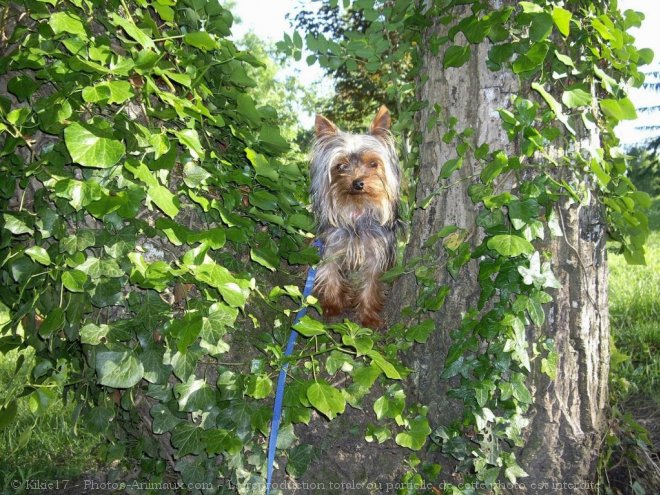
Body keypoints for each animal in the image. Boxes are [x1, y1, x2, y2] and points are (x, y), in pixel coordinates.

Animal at [310, 105, 400, 330]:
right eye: (341, 166)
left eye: (373, 164)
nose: (357, 183)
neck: (357, 211)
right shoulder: (331, 246)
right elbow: (330, 272)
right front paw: (332, 306)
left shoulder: (377, 253)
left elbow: (371, 283)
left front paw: (369, 317)